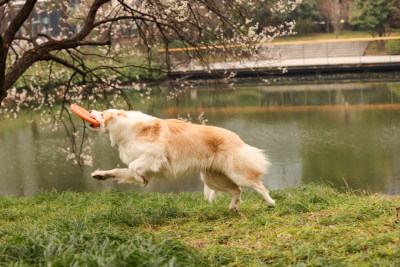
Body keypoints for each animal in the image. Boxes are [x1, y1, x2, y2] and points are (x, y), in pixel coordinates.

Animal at [89, 109, 276, 211]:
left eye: (102, 113)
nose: (90, 111)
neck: (129, 129)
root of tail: (237, 138)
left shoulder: (155, 156)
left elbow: (134, 166)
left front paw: (140, 180)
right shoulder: (147, 165)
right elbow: (118, 171)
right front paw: (100, 175)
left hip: (237, 173)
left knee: (259, 186)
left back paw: (271, 204)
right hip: (213, 178)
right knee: (237, 190)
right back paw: (233, 208)